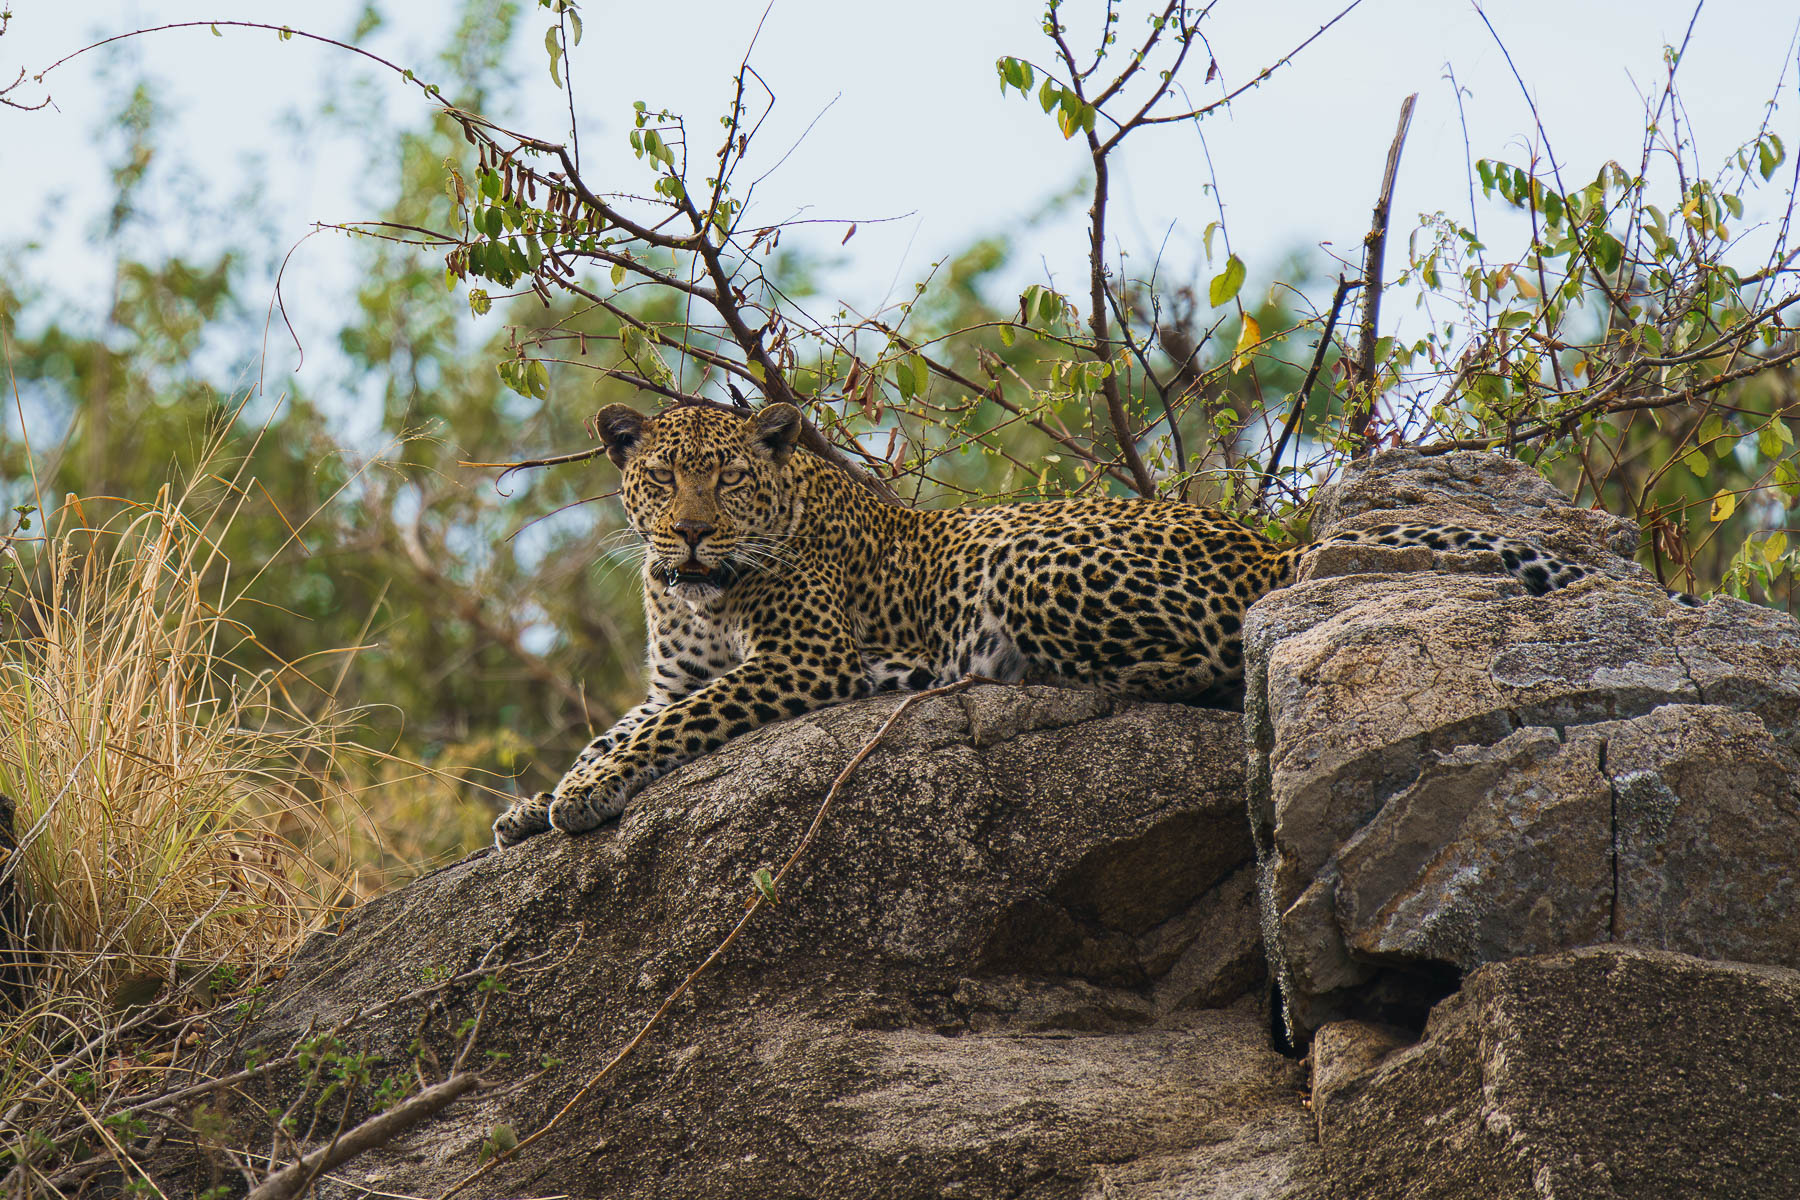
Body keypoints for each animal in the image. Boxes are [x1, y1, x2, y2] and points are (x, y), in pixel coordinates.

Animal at [492, 400, 1650, 848]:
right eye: (658, 478)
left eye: (727, 479)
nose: (688, 534)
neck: (693, 589)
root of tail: (1262, 542)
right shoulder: (674, 677)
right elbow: (618, 725)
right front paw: (534, 804)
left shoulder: (799, 661)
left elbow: (660, 734)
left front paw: (583, 797)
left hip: (1025, 555)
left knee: (1220, 655)